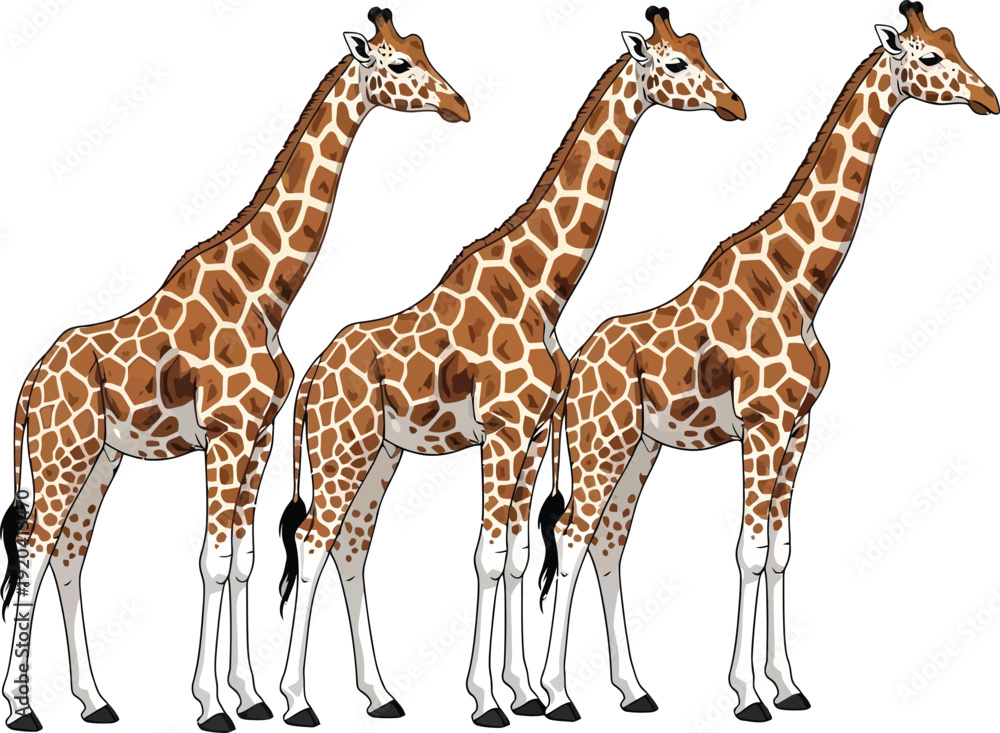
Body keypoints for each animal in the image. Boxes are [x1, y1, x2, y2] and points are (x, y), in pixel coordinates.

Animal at [0, 8, 468, 732]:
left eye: (424, 51)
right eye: (398, 64)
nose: (459, 105)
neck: (264, 292)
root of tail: (29, 381)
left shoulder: (261, 436)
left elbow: (243, 561)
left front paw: (250, 697)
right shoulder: (224, 434)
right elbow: (213, 560)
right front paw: (211, 704)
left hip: (98, 456)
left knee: (70, 551)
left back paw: (95, 699)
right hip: (61, 452)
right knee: (32, 545)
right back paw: (23, 706)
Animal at [275, 7, 745, 728]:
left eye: (699, 51)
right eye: (674, 64)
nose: (735, 103)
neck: (541, 288)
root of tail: (311, 381)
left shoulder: (532, 435)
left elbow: (520, 557)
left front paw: (525, 692)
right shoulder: (500, 430)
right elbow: (488, 556)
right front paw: (488, 700)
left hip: (381, 451)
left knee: (350, 544)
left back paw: (379, 695)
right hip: (341, 448)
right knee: (313, 540)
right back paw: (298, 700)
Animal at [536, 1, 997, 723]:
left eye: (955, 43)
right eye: (928, 57)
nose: (989, 97)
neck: (801, 283)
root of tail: (578, 362)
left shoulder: (800, 427)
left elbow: (780, 552)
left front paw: (789, 685)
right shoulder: (764, 422)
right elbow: (749, 551)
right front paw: (747, 694)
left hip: (641, 445)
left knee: (609, 540)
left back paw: (633, 690)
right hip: (600, 439)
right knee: (576, 535)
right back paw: (557, 694)